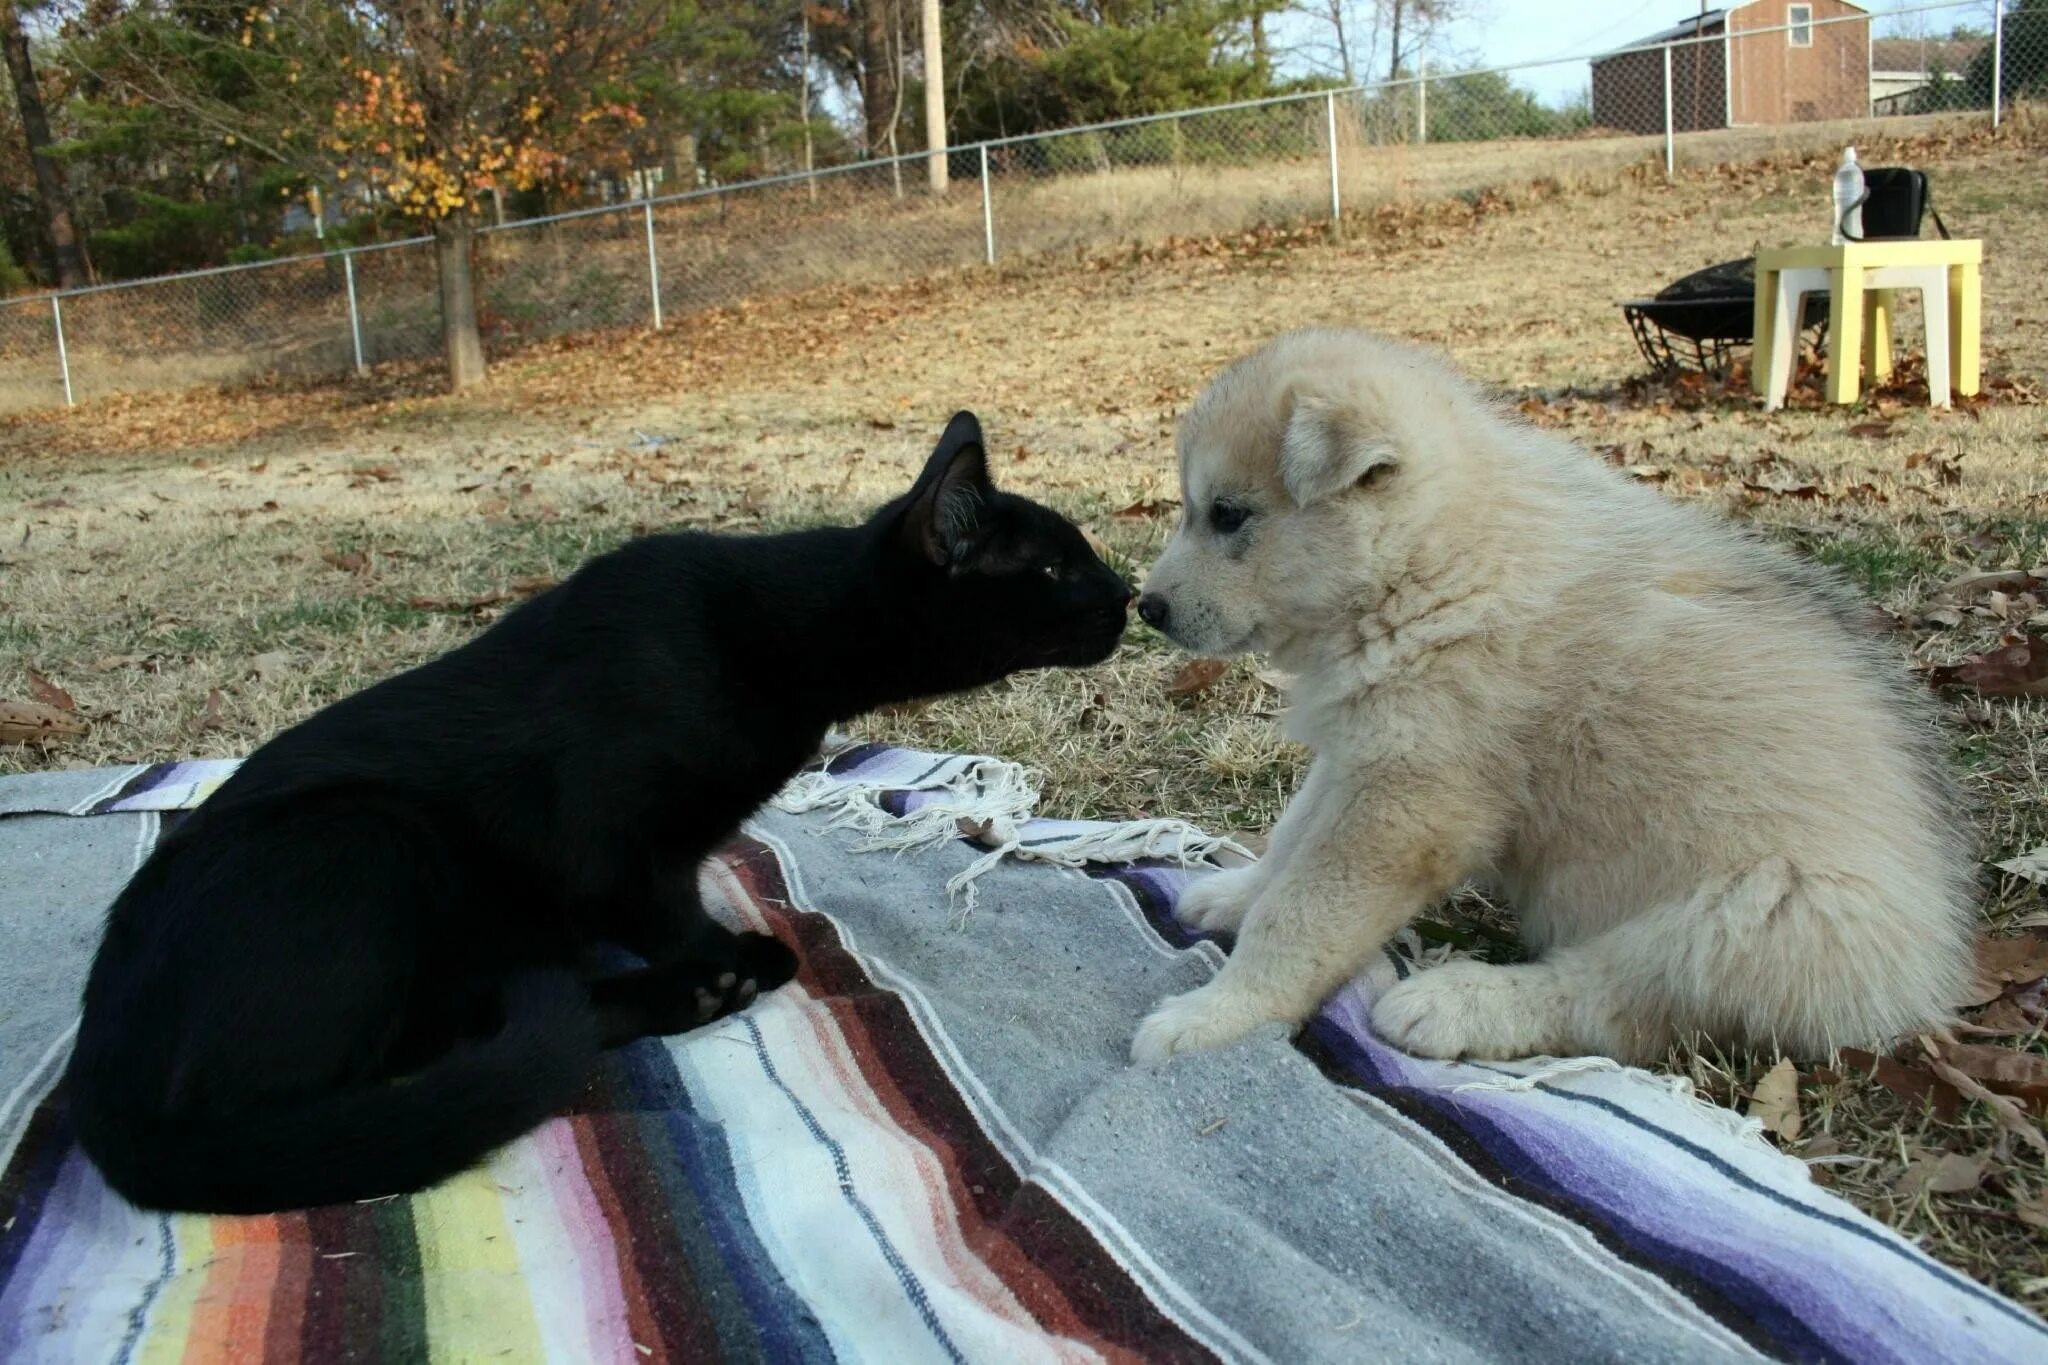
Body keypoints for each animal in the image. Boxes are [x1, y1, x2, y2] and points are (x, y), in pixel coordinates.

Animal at [68, 411, 1138, 1211]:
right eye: (1055, 570)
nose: (1129, 591)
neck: (777, 633)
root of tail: (95, 1067)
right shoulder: (607, 847)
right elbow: (668, 911)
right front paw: (723, 956)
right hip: (363, 839)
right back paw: (687, 989)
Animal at [1130, 327, 1974, 1064]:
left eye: (1228, 514)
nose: (1147, 607)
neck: (1432, 562)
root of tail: (1928, 968)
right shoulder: (1363, 753)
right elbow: (1286, 845)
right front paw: (1233, 894)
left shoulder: (1405, 802)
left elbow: (1300, 915)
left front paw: (1216, 1015)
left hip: (1760, 912)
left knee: (1615, 1001)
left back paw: (1457, 1003)